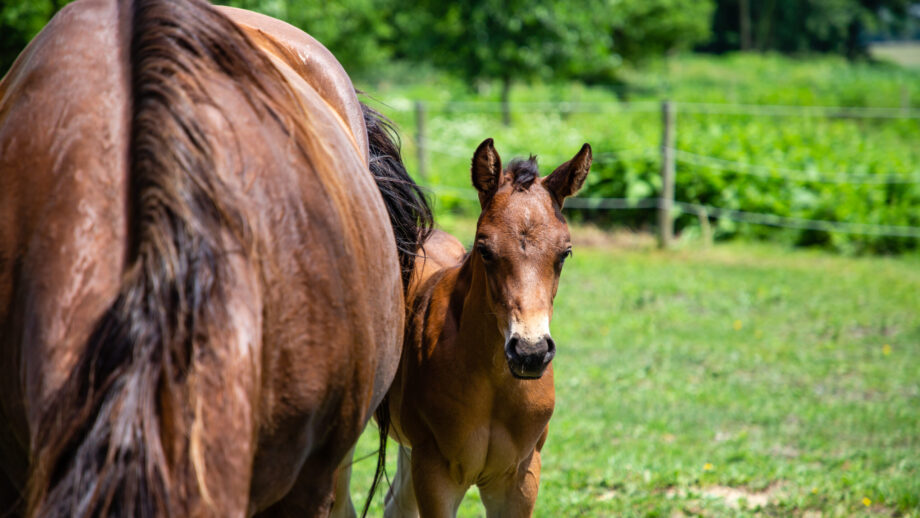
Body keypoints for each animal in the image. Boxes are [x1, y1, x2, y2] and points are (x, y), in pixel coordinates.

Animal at [336, 139, 592, 517]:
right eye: (484, 249)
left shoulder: (520, 478)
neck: (495, 384)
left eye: (565, 253)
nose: (529, 352)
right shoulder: (436, 472)